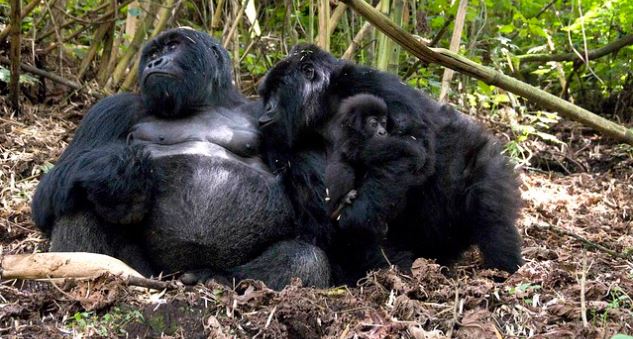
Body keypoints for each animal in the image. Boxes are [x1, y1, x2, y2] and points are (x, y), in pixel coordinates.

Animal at [32, 27, 330, 290]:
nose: (155, 62)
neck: (206, 102)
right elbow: (49, 194)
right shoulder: (112, 108)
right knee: (78, 199)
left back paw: (219, 279)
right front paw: (115, 171)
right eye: (153, 53)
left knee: (306, 258)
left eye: (173, 46)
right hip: (148, 271)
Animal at [256, 44, 524, 284]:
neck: (324, 102)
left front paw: (356, 216)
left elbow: (412, 148)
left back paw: (503, 270)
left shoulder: (370, 85)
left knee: (489, 208)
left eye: (277, 89)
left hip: (480, 160)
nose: (264, 112)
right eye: (265, 94)